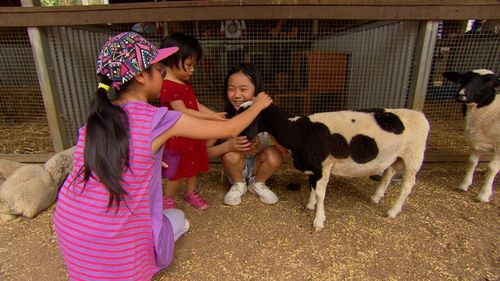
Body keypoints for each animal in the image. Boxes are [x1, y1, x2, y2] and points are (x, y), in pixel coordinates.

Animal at [240, 103, 428, 230]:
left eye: (245, 114)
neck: (300, 131)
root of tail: (420, 115)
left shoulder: (323, 167)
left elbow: (321, 193)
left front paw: (318, 220)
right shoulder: (314, 167)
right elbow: (312, 187)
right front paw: (310, 204)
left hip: (413, 158)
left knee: (407, 186)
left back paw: (393, 211)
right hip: (395, 157)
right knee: (389, 173)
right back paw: (376, 197)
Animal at [444, 69, 498, 202]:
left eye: (489, 82)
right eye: (462, 79)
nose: (461, 94)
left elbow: (492, 167)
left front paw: (484, 194)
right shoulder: (477, 140)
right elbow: (472, 161)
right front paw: (464, 185)